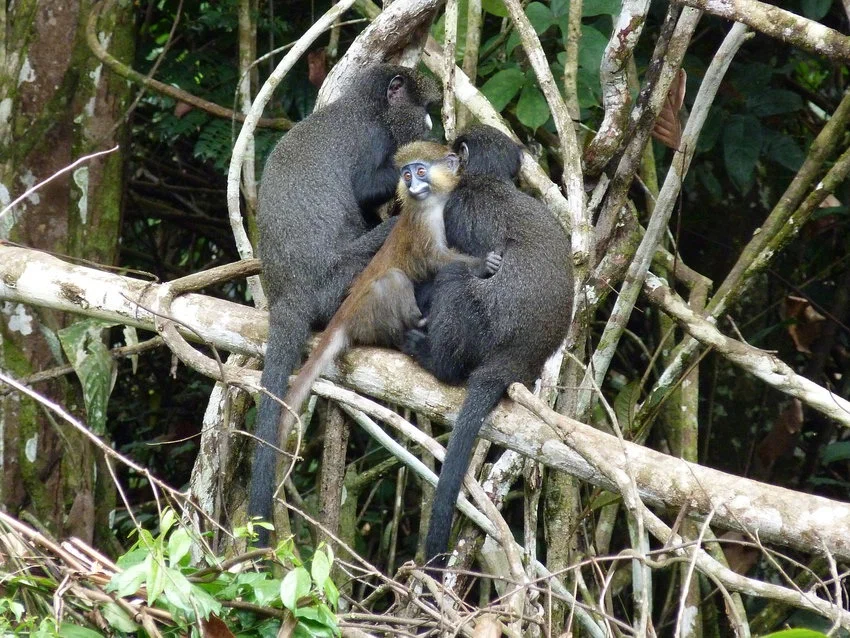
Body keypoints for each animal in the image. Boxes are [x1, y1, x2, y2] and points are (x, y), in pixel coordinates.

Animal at [402, 125, 572, 564]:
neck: (488, 180)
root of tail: (517, 361)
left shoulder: (459, 207)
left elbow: (447, 265)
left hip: (484, 326)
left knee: (456, 285)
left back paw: (433, 359)